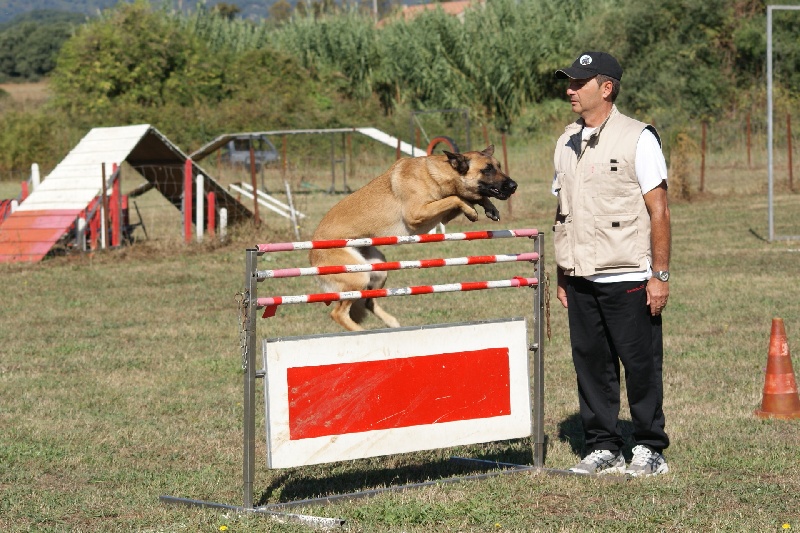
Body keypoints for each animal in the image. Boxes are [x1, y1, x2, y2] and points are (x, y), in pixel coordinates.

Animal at [306, 143, 520, 330]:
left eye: (499, 166)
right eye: (487, 170)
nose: (514, 185)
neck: (439, 174)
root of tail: (311, 255)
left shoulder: (442, 214)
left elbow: (469, 197)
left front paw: (489, 208)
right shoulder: (417, 213)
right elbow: (456, 198)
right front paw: (472, 210)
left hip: (378, 270)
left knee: (368, 301)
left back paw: (391, 323)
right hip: (358, 276)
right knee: (338, 313)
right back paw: (361, 332)